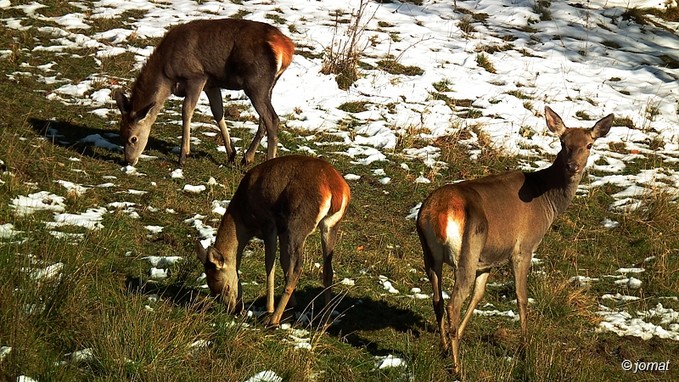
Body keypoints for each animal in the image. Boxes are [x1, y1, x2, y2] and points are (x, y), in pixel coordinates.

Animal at [114, 18, 294, 167]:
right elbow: (218, 113)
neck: (167, 77)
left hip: (256, 82)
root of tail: (286, 48)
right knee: (264, 120)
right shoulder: (211, 84)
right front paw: (231, 154)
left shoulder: (197, 77)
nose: (128, 161)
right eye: (120, 134)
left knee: (272, 119)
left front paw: (183, 156)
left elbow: (186, 111)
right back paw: (246, 158)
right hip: (268, 85)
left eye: (133, 138)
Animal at [195, 154, 350, 326]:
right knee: (328, 270)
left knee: (297, 268)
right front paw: (291, 307)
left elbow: (270, 263)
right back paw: (326, 320)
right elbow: (283, 261)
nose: (233, 309)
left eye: (225, 287)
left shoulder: (269, 223)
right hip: (330, 225)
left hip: (297, 224)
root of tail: (336, 189)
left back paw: (274, 319)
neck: (243, 216)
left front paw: (270, 308)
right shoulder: (281, 229)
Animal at [418, 106, 612, 374]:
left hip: (430, 253)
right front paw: (525, 348)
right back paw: (458, 368)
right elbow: (521, 296)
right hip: (467, 251)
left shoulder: (487, 258)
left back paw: (446, 347)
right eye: (563, 143)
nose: (573, 166)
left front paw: (460, 336)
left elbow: (480, 294)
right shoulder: (523, 248)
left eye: (589, 144)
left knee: (437, 299)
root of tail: (437, 213)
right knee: (452, 303)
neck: (547, 202)